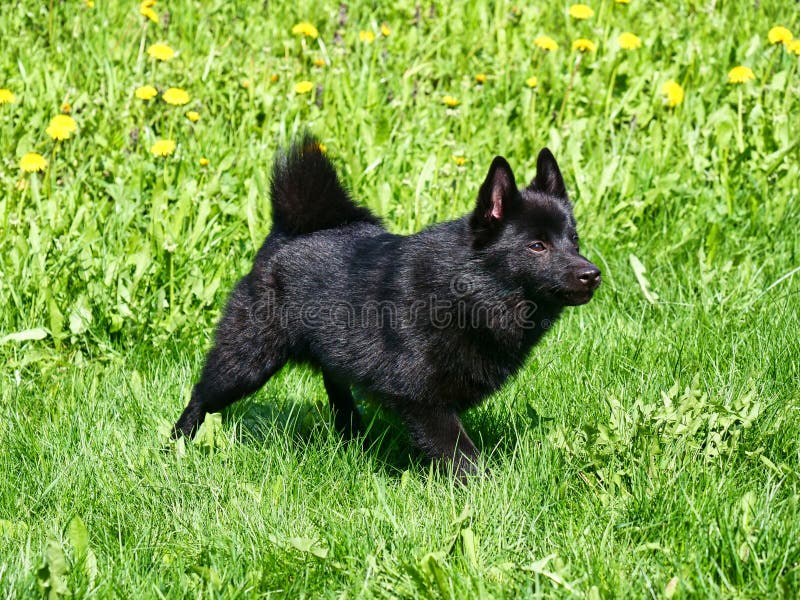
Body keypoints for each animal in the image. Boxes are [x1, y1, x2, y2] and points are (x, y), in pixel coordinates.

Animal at [175, 134, 600, 480]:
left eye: (574, 240)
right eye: (537, 245)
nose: (592, 274)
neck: (470, 293)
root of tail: (290, 230)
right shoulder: (424, 401)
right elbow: (463, 457)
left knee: (337, 390)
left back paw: (351, 439)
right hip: (246, 361)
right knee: (201, 396)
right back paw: (174, 446)